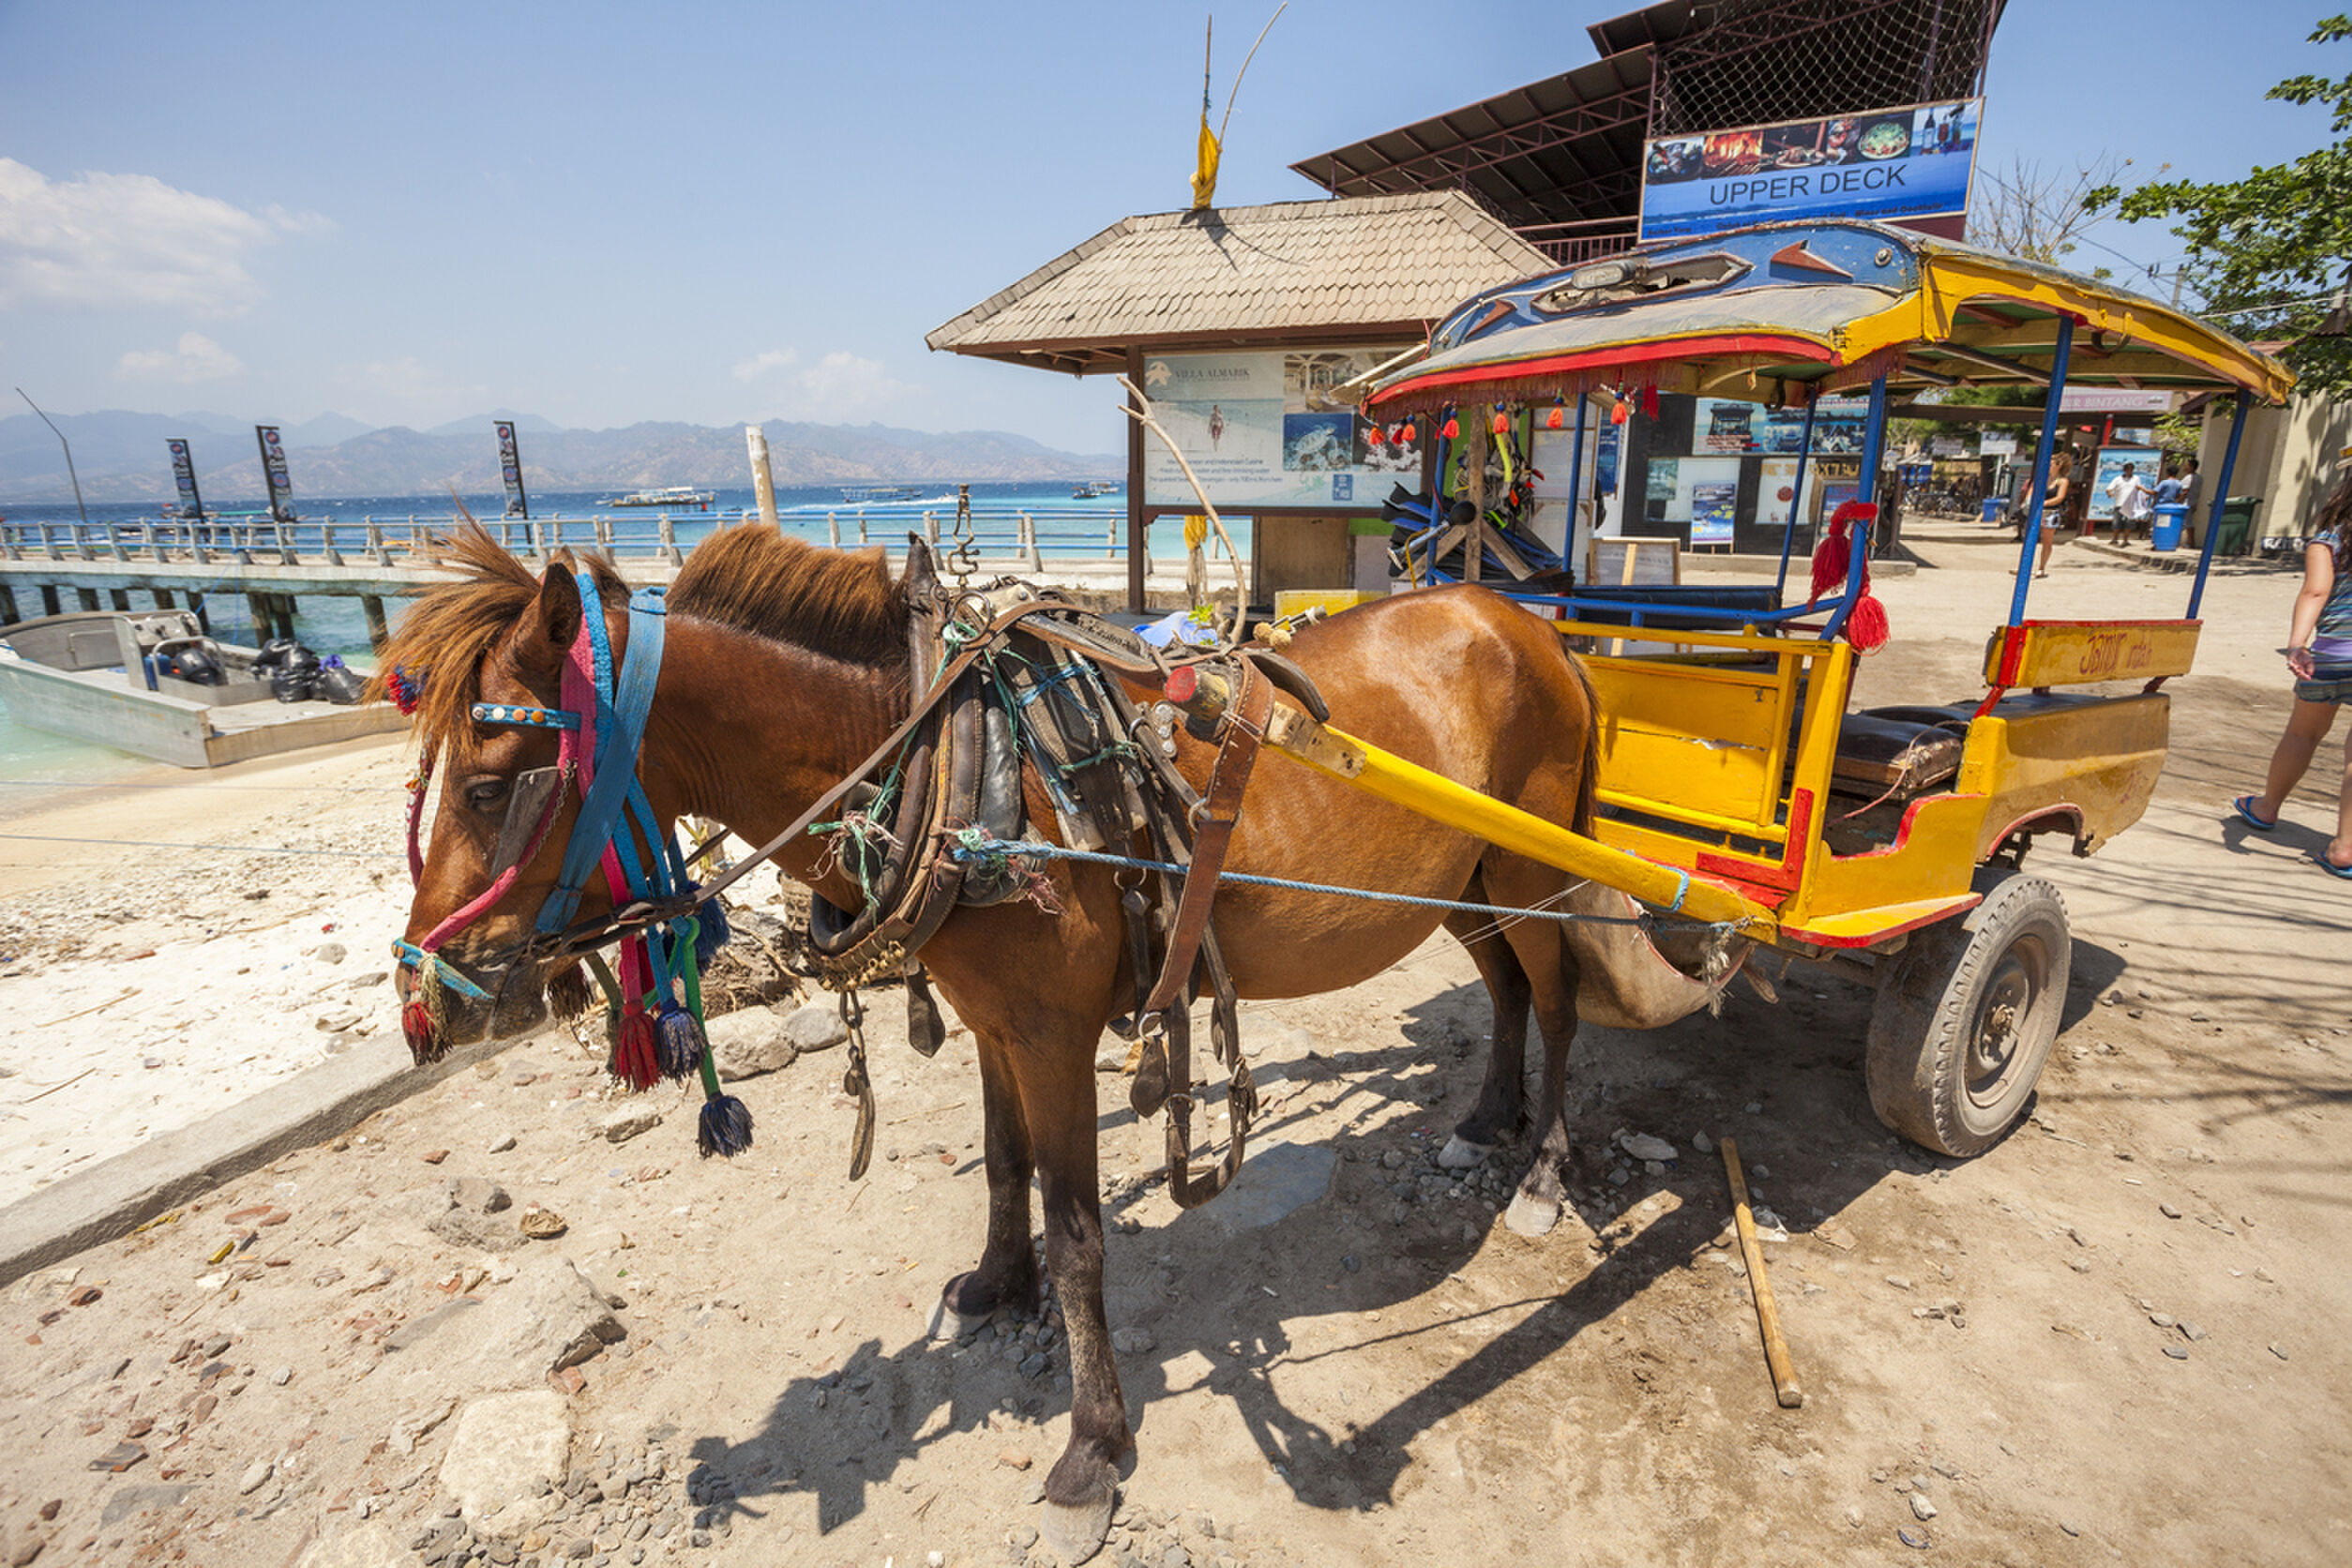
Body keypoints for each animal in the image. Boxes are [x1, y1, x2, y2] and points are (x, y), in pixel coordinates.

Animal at [386, 522, 1732, 1561]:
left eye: (493, 784)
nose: (424, 1004)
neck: (947, 760)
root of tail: (1538, 630)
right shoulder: (997, 1022)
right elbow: (1004, 1166)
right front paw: (995, 1284)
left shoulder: (1053, 1032)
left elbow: (1082, 1233)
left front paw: (1092, 1443)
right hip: (1462, 880)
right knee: (1501, 992)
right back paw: (1486, 1118)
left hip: (1533, 869)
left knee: (1555, 1006)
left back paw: (1544, 1171)